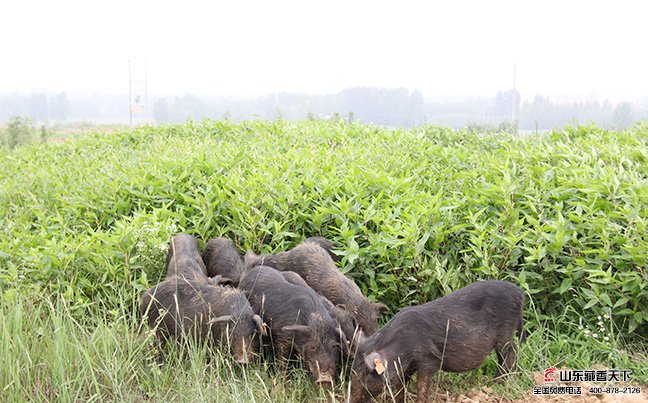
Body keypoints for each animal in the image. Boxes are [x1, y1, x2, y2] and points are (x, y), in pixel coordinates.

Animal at [350, 280, 528, 403]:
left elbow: (422, 385)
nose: (352, 399)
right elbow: (400, 387)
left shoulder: (429, 358)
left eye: (365, 374)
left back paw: (497, 382)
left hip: (505, 332)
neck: (402, 345)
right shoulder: (406, 367)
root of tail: (520, 293)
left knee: (512, 349)